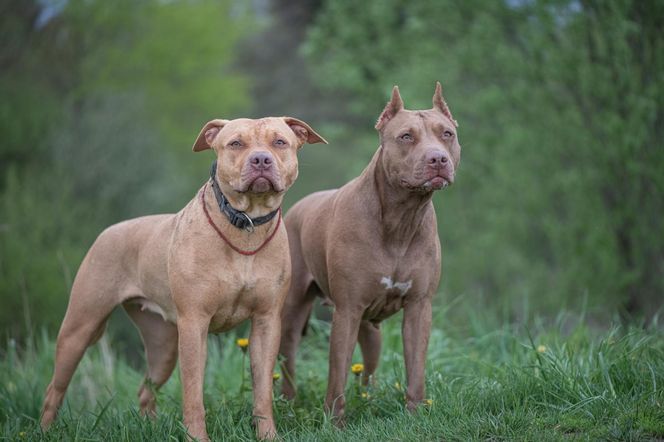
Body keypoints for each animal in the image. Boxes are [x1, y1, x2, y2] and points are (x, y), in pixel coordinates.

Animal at [40, 115, 326, 440]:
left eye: (279, 142)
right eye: (235, 143)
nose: (261, 159)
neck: (246, 224)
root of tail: (109, 230)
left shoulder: (266, 322)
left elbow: (263, 391)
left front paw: (268, 435)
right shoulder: (194, 323)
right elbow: (192, 393)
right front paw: (197, 437)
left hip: (162, 345)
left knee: (146, 390)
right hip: (80, 327)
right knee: (54, 389)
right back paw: (45, 431)